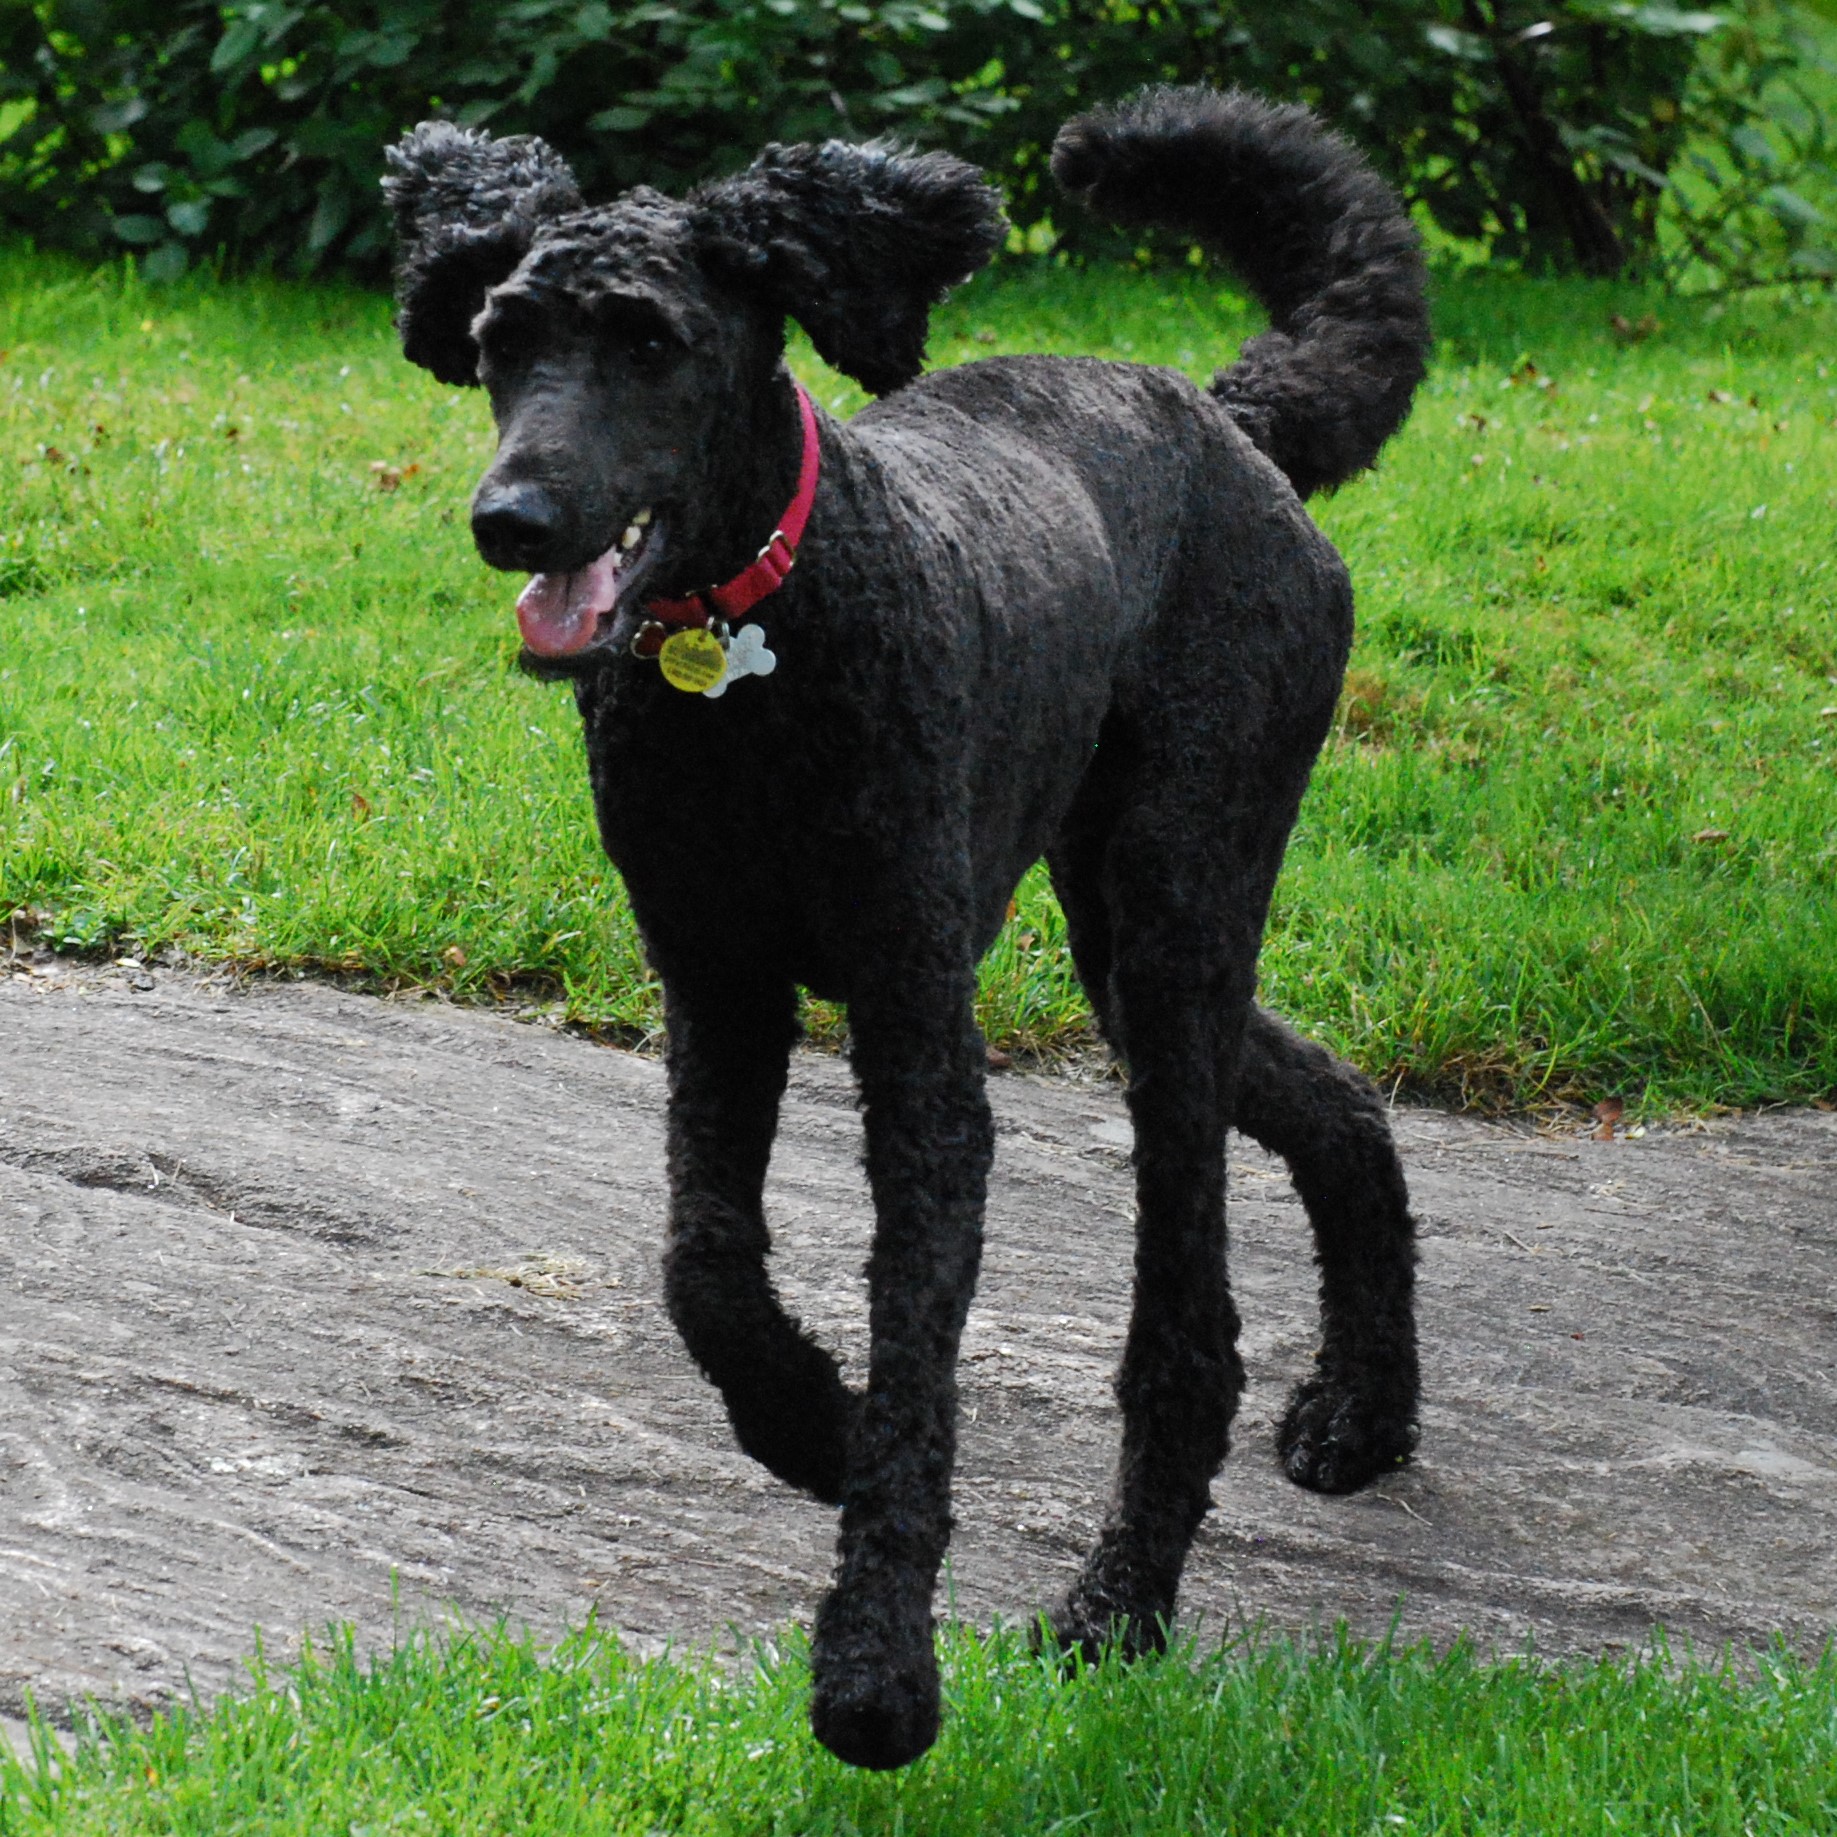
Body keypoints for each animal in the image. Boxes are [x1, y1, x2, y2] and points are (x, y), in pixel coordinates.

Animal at [385, 84, 1430, 1770]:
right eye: (500, 339)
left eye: (651, 342)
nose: (512, 517)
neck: (754, 662)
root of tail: (1226, 419)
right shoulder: (718, 986)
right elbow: (704, 1264)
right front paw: (806, 1420)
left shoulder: (916, 1031)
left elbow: (916, 1350)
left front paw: (876, 1665)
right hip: (1128, 939)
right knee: (1335, 1105)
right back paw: (1366, 1409)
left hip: (1178, 915)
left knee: (1187, 1328)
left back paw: (1120, 1603)